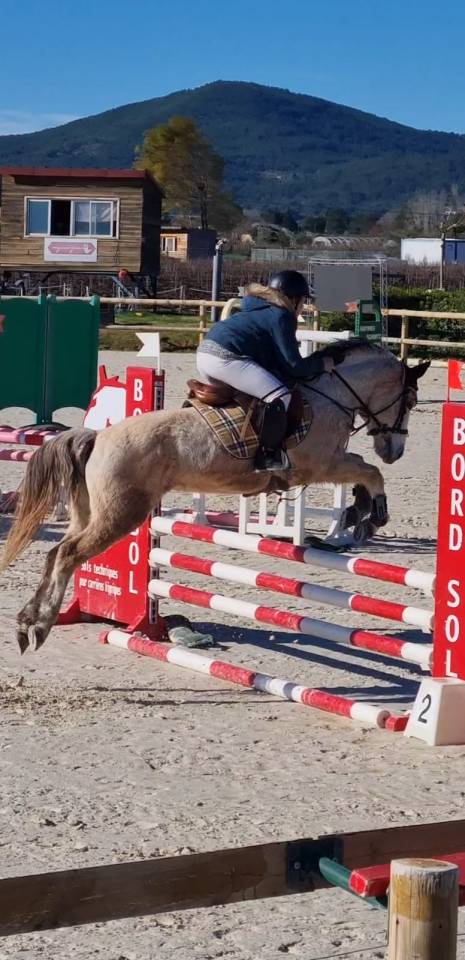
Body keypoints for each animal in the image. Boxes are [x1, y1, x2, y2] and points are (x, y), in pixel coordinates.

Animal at [0, 340, 429, 654]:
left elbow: (364, 470)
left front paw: (358, 512)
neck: (330, 395)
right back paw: (39, 626)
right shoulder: (321, 465)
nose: (394, 450)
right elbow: (368, 471)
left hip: (90, 513)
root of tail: (97, 436)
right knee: (69, 554)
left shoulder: (327, 464)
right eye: (409, 401)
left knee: (56, 553)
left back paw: (27, 623)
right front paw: (371, 516)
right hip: (121, 514)